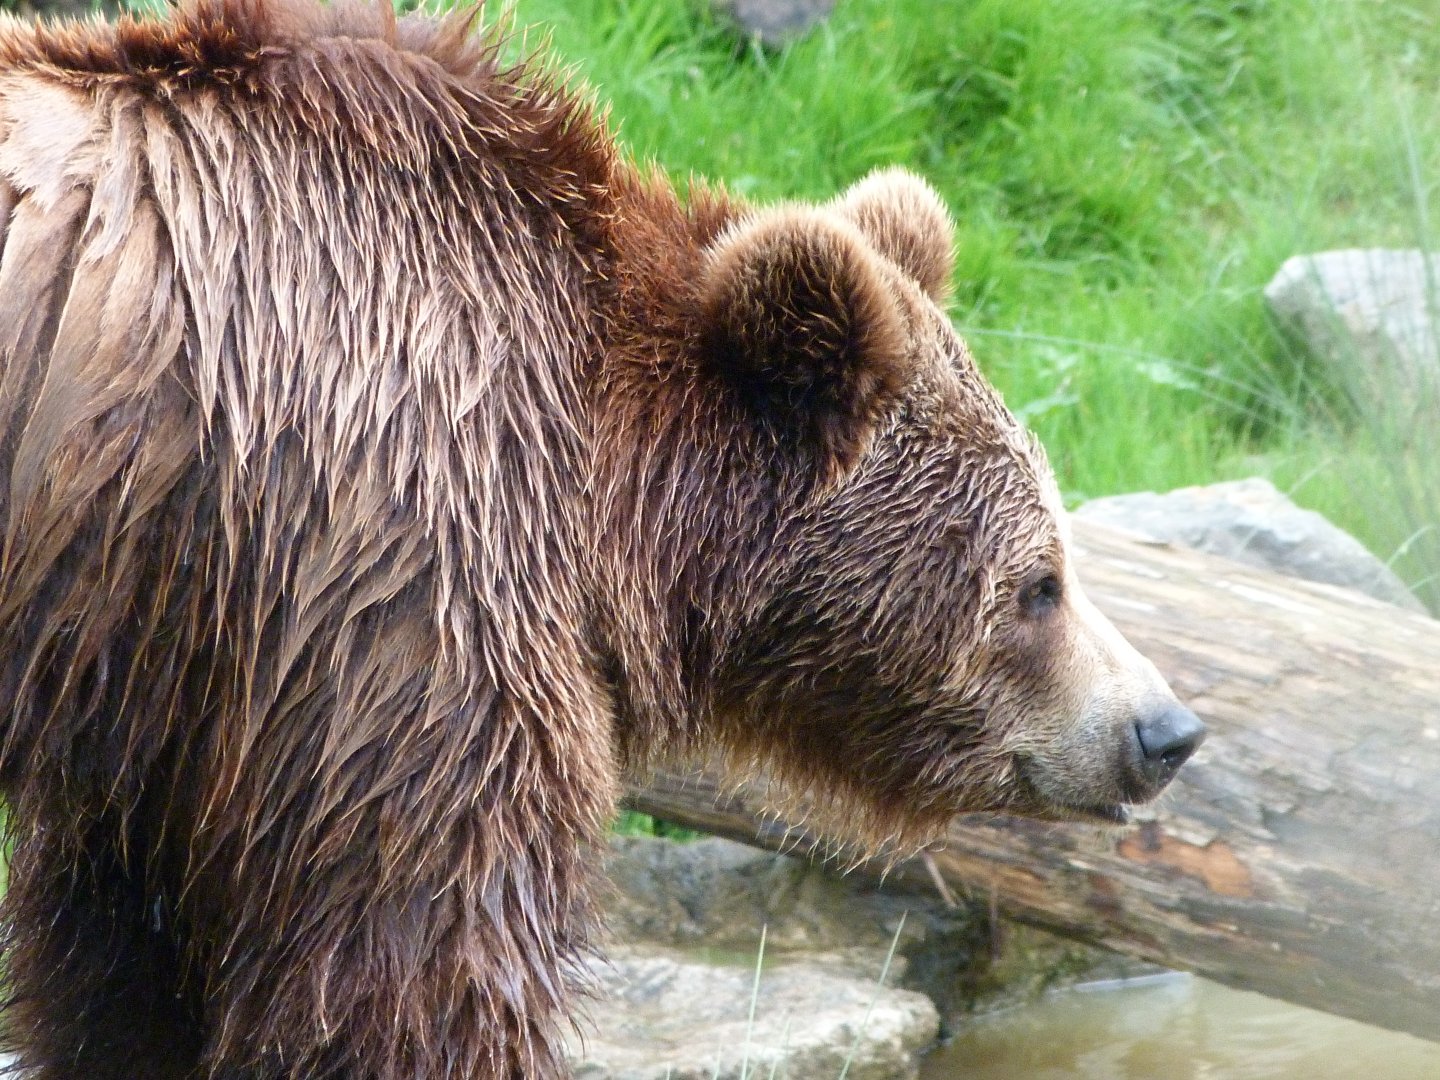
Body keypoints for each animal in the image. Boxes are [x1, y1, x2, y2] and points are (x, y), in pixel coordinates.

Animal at [0, 0, 1204, 1076]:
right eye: (1038, 581)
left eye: (1060, 556)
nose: (1165, 730)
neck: (609, 483)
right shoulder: (392, 569)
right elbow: (421, 950)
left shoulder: (185, 691)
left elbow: (130, 953)